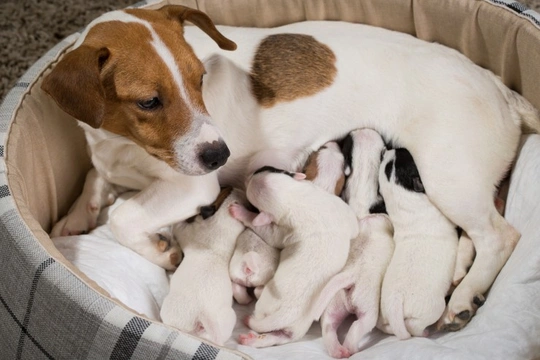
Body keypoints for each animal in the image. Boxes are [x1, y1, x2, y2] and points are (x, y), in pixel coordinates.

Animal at [159, 187, 246, 344]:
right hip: (227, 321)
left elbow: (177, 226)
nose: (232, 186)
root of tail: (203, 316)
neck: (225, 222)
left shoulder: (185, 232)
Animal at [229, 165, 358, 348]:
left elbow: (263, 229)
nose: (248, 174)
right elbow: (355, 225)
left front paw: (240, 212)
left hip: (270, 309)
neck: (294, 199)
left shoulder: (280, 230)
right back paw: (251, 339)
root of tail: (282, 316)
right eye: (269, 168)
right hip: (293, 329)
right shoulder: (340, 207)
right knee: (276, 336)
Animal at [318, 127, 394, 358]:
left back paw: (336, 350)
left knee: (328, 326)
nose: (364, 127)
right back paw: (350, 349)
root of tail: (350, 276)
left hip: (333, 304)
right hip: (368, 309)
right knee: (356, 328)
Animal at [378, 149, 458, 340]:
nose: (393, 148)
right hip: (429, 311)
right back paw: (428, 331)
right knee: (416, 328)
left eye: (388, 164)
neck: (401, 200)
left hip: (386, 317)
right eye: (405, 158)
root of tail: (396, 305)